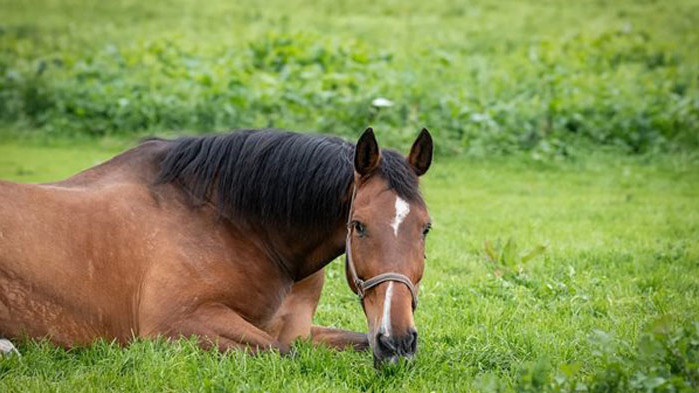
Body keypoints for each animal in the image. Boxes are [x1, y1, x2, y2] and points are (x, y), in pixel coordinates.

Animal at [0, 126, 432, 364]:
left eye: (426, 228)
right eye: (358, 226)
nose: (396, 342)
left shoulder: (298, 329)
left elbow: (343, 342)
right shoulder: (178, 324)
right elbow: (285, 354)